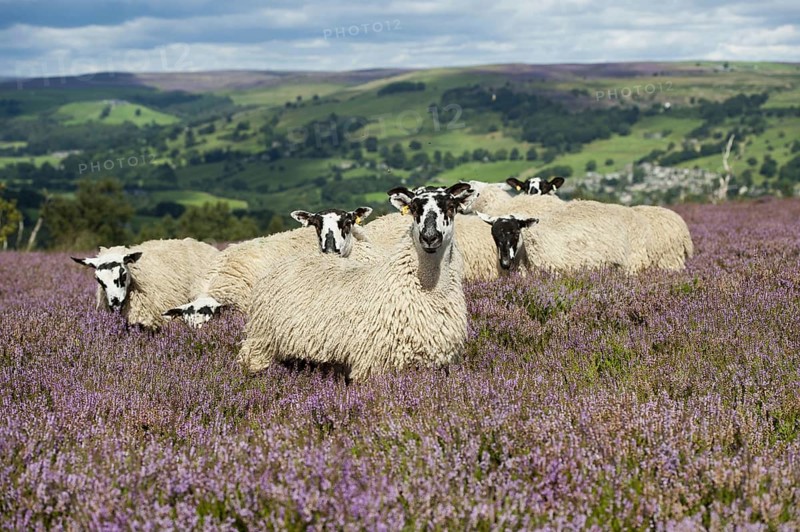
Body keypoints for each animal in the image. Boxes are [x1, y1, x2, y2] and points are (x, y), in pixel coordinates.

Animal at [237, 183, 476, 380]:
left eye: (451, 206)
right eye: (415, 208)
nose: (429, 237)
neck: (429, 288)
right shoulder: (372, 364)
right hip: (262, 343)